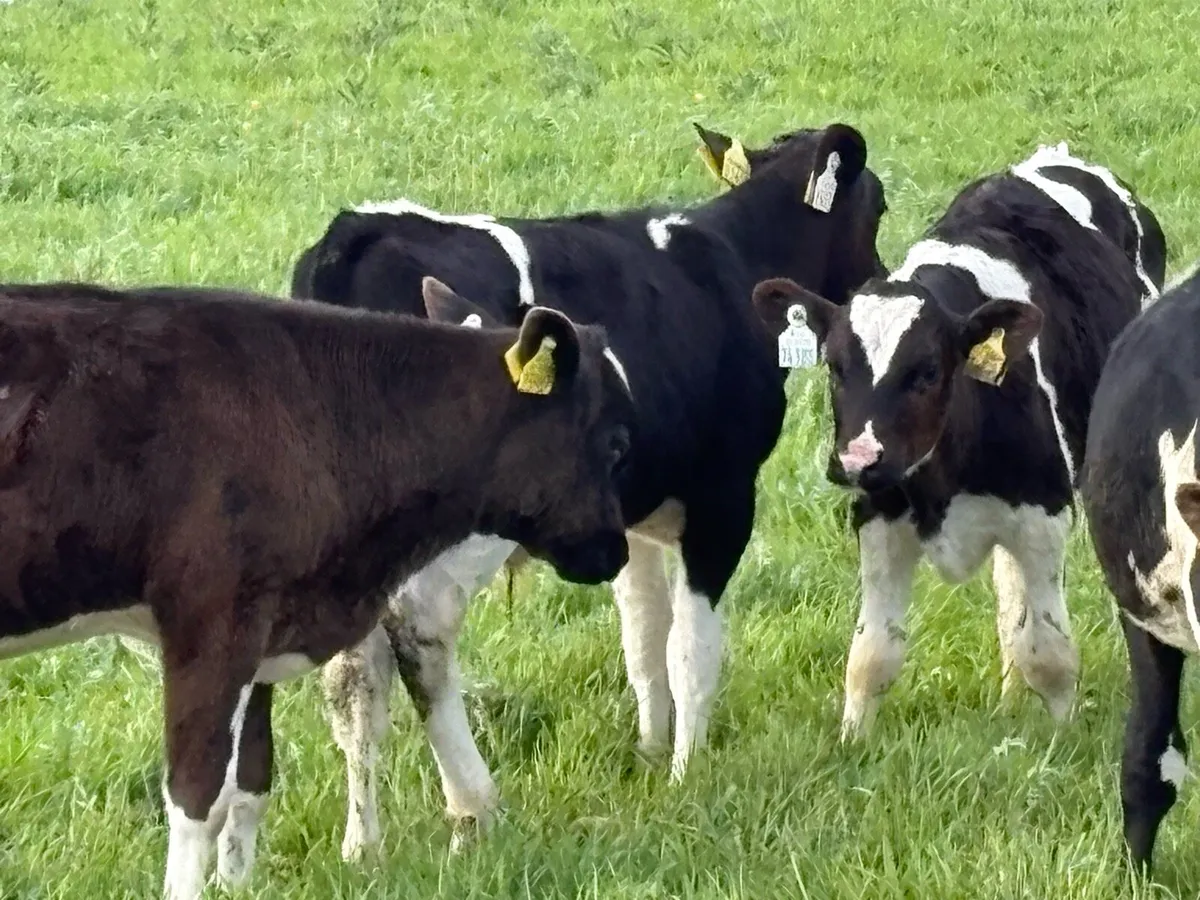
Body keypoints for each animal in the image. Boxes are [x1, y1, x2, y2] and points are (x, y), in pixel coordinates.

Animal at [0, 278, 634, 900]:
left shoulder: (264, 624)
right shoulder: (212, 624)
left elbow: (249, 781)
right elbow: (198, 797)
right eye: (615, 442)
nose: (616, 552)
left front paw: (236, 884)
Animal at [292, 121, 890, 857]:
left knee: (354, 678)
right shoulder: (723, 502)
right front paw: (687, 775)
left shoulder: (634, 516)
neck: (729, 264)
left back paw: (363, 845)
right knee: (421, 629)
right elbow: (691, 647)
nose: (876, 282)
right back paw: (472, 805)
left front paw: (651, 751)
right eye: (877, 206)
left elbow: (643, 635)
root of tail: (357, 235)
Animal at [751, 141, 1166, 743]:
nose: (856, 459)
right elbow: (871, 654)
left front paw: (1061, 737)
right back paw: (1011, 696)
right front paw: (853, 742)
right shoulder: (879, 516)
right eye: (835, 367)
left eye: (927, 371)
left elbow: (1050, 650)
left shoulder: (1042, 515)